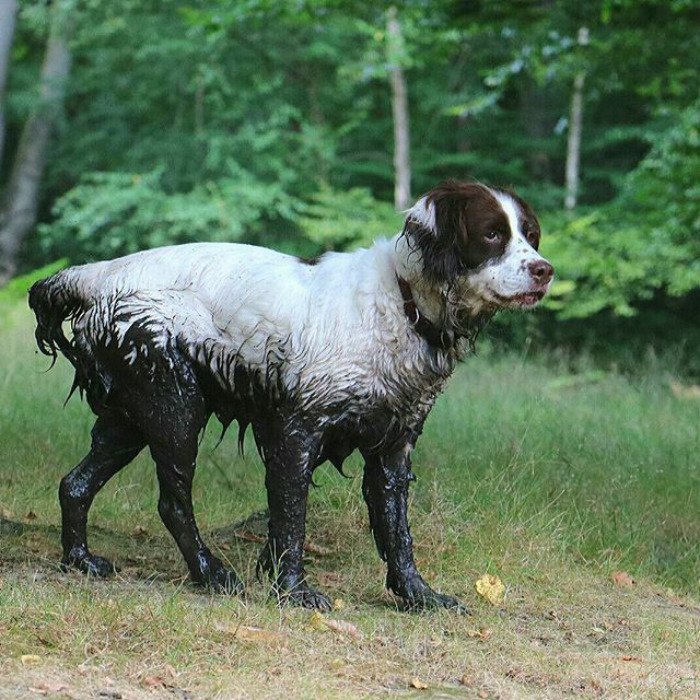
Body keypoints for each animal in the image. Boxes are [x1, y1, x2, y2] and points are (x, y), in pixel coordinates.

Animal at [27, 182, 552, 612]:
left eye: (530, 235)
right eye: (491, 235)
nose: (544, 270)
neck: (400, 304)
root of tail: (95, 274)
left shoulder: (393, 448)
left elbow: (396, 533)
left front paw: (419, 596)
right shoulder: (296, 431)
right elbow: (292, 520)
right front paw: (294, 591)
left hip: (129, 419)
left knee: (74, 484)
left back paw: (81, 560)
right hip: (175, 408)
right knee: (171, 503)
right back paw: (210, 574)